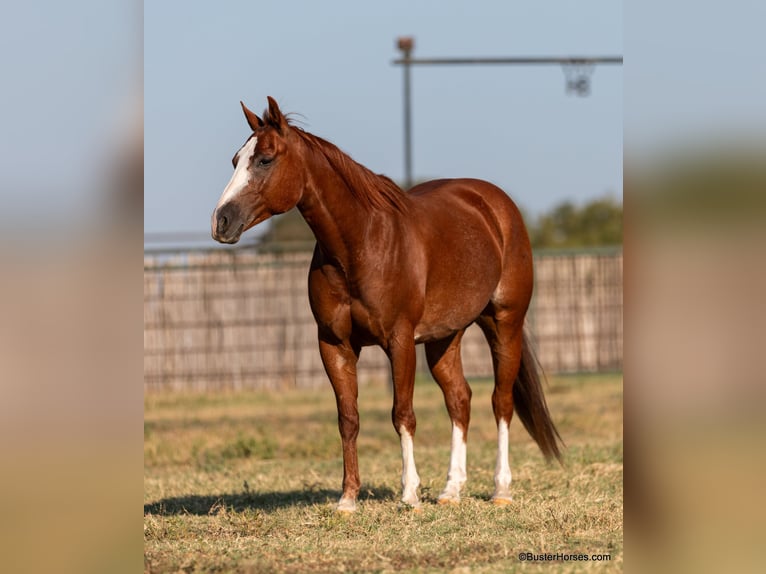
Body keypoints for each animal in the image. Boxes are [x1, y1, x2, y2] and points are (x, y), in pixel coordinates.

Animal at [211, 97, 563, 512]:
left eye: (265, 160)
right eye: (236, 160)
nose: (221, 221)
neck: (360, 243)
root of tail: (496, 205)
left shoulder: (399, 340)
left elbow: (403, 414)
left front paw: (409, 493)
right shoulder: (334, 344)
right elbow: (348, 417)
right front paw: (348, 499)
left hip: (504, 323)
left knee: (501, 402)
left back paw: (501, 490)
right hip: (445, 338)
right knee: (460, 400)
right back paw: (451, 490)